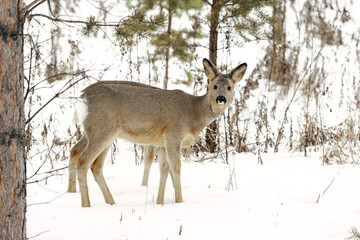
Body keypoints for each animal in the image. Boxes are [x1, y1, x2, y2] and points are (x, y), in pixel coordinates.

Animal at [67, 58, 248, 206]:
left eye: (229, 87)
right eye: (214, 86)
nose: (220, 98)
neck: (194, 113)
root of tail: (83, 96)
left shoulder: (162, 142)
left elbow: (164, 169)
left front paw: (160, 202)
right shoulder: (174, 135)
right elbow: (176, 168)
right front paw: (179, 202)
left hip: (100, 133)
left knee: (89, 161)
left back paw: (110, 202)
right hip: (101, 129)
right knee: (84, 161)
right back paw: (87, 204)